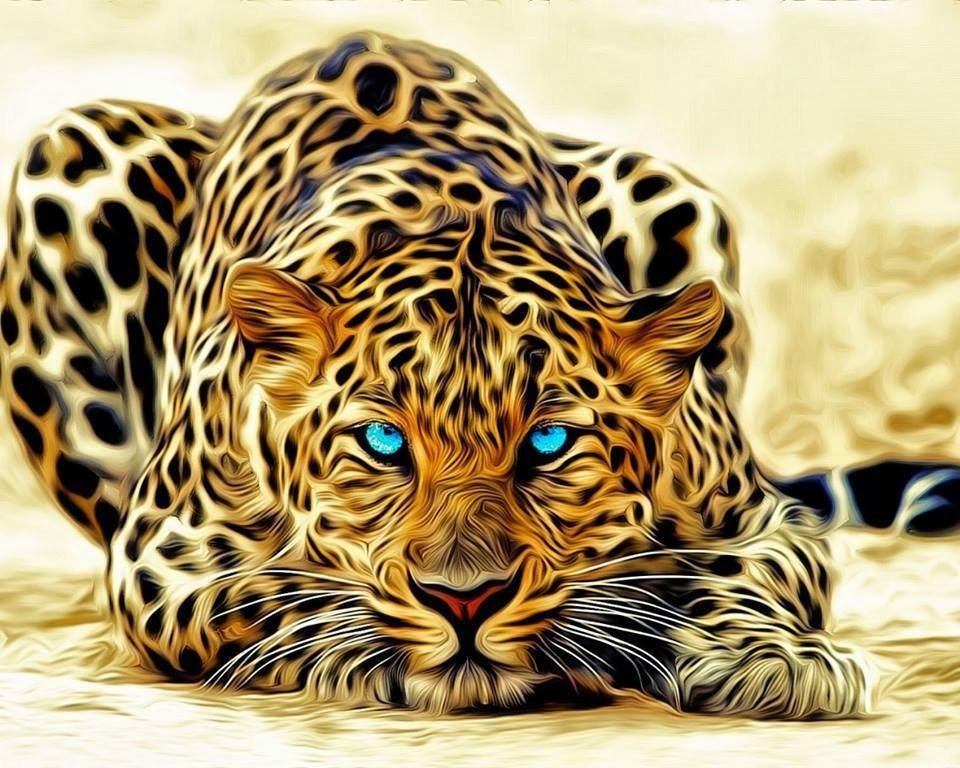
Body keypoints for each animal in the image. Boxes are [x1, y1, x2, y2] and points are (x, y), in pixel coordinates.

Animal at [4, 31, 955, 717]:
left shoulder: (762, 519)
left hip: (669, 188)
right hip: (68, 149)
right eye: (383, 442)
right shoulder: (161, 552)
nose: (466, 601)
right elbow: (274, 591)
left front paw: (772, 658)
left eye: (551, 441)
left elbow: (742, 575)